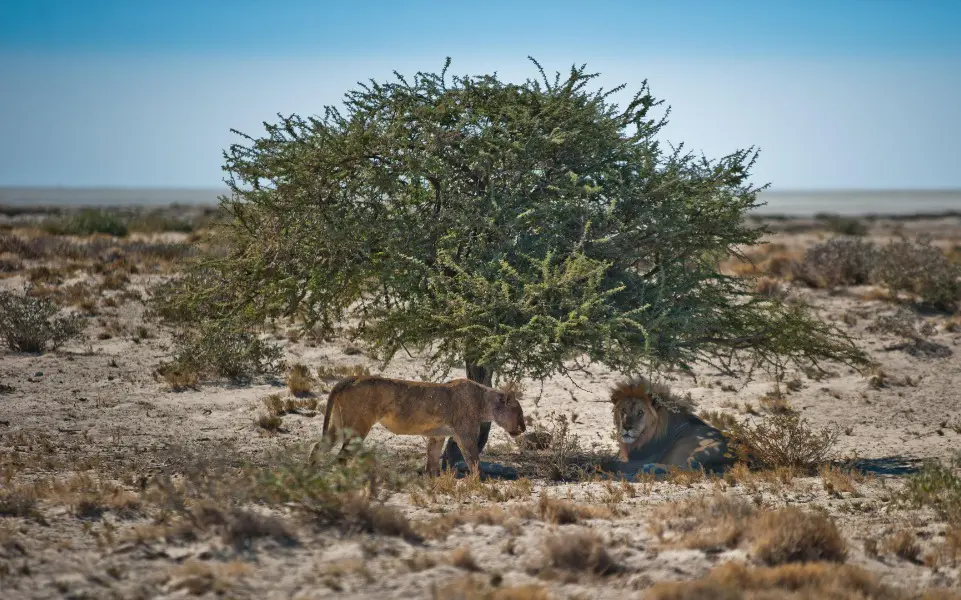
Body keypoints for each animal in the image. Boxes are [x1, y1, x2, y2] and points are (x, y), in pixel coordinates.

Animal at [310, 375, 526, 476]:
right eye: (519, 413)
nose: (524, 429)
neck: (484, 401)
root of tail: (351, 378)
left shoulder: (437, 435)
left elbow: (432, 460)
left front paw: (433, 480)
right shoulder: (466, 435)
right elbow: (473, 461)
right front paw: (480, 482)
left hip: (338, 425)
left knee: (319, 446)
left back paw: (311, 472)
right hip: (358, 426)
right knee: (341, 456)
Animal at [608, 377, 736, 477]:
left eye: (640, 412)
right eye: (623, 410)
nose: (627, 427)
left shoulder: (640, 459)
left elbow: (613, 463)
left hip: (706, 449)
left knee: (688, 469)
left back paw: (650, 467)